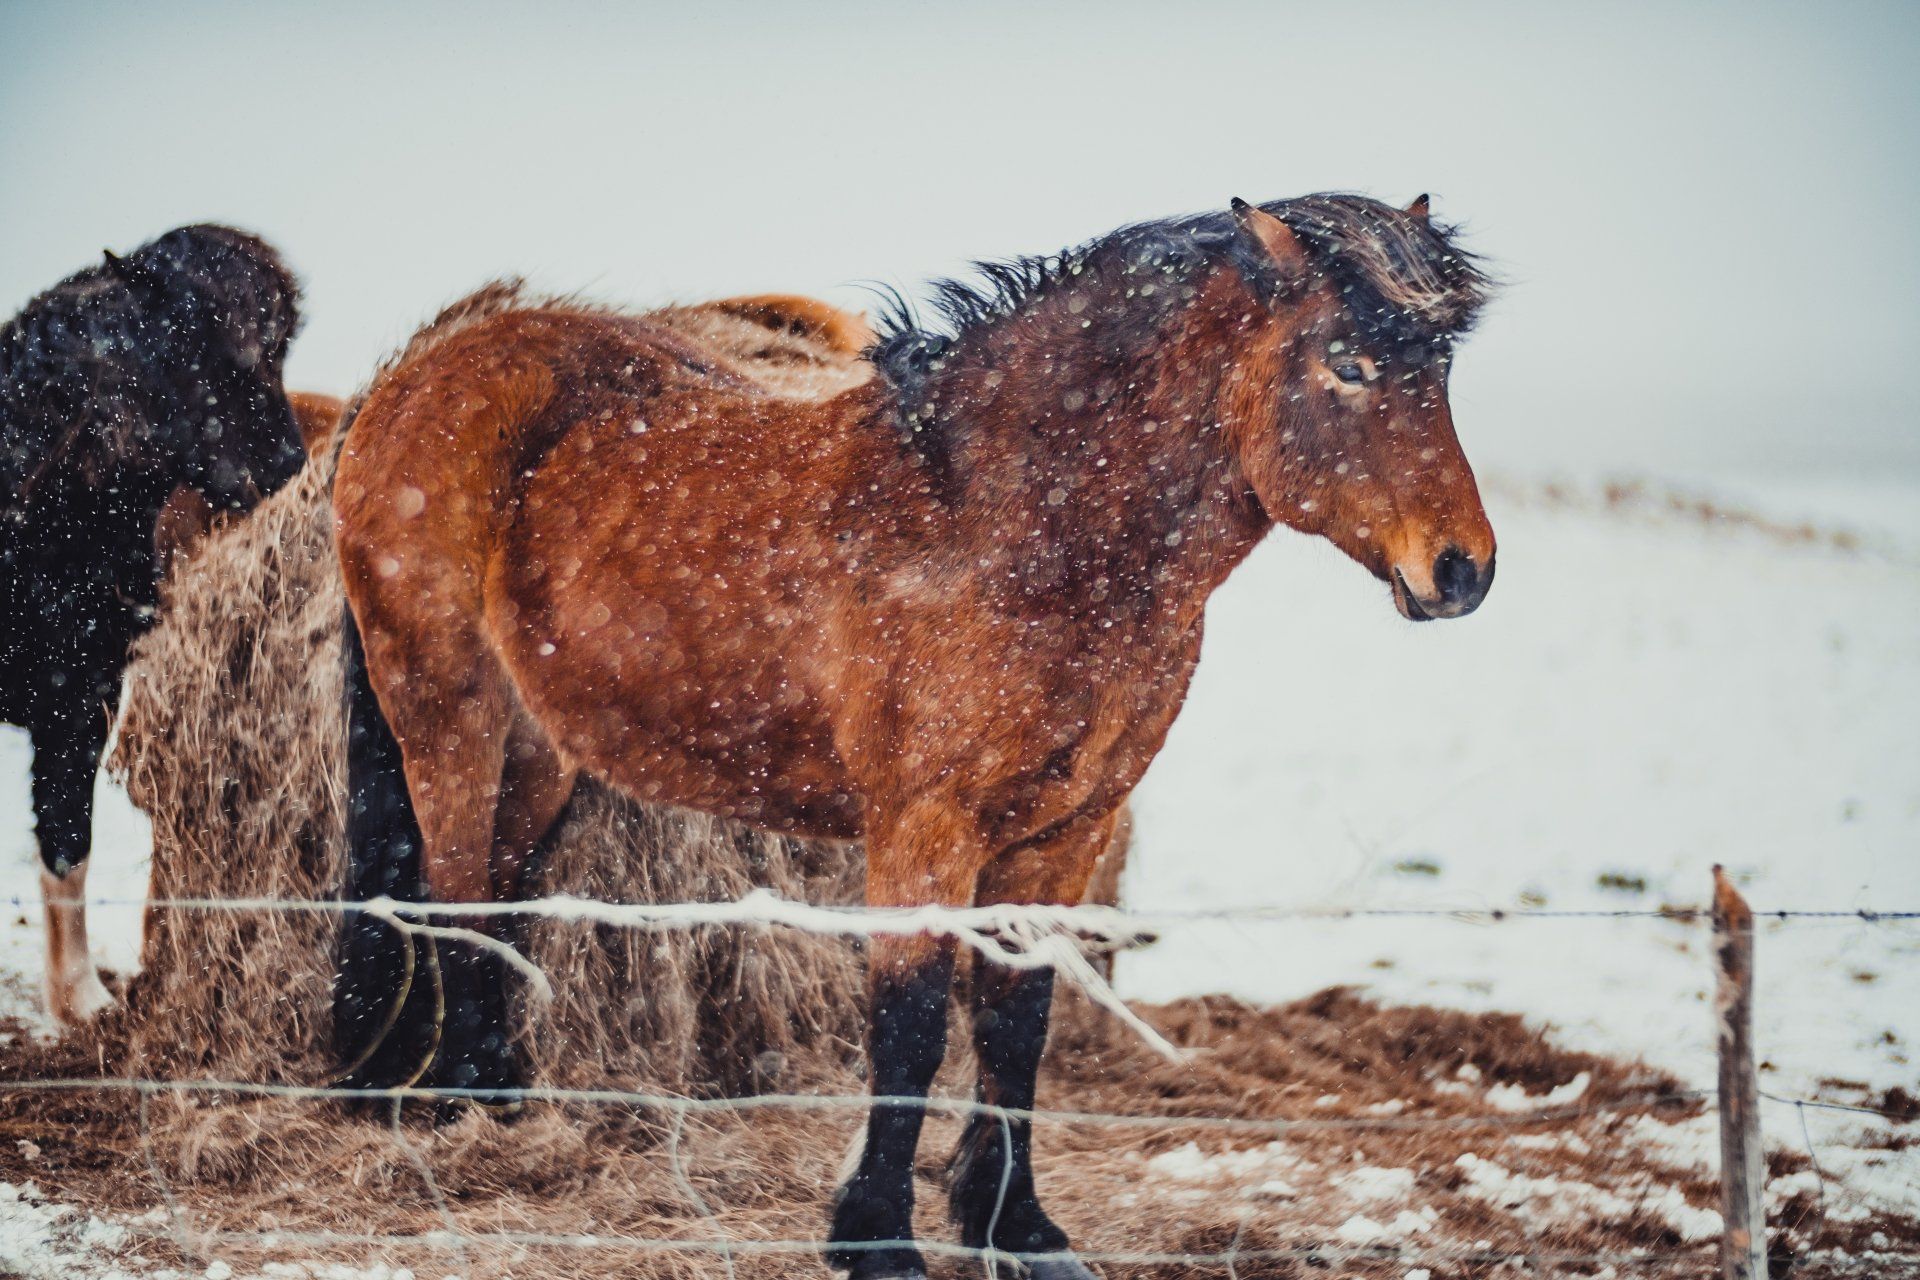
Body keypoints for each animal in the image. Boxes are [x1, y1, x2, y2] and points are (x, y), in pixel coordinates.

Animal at [330, 192, 1496, 1279]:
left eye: (1441, 370)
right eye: (1347, 362)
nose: (1462, 569)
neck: (1010, 529)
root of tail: (409, 378)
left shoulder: (1064, 834)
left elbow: (1017, 1020)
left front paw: (1018, 1228)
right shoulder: (924, 830)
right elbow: (913, 1024)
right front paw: (878, 1235)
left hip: (538, 752)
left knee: (502, 895)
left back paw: (511, 1111)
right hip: (448, 714)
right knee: (451, 891)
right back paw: (466, 1122)